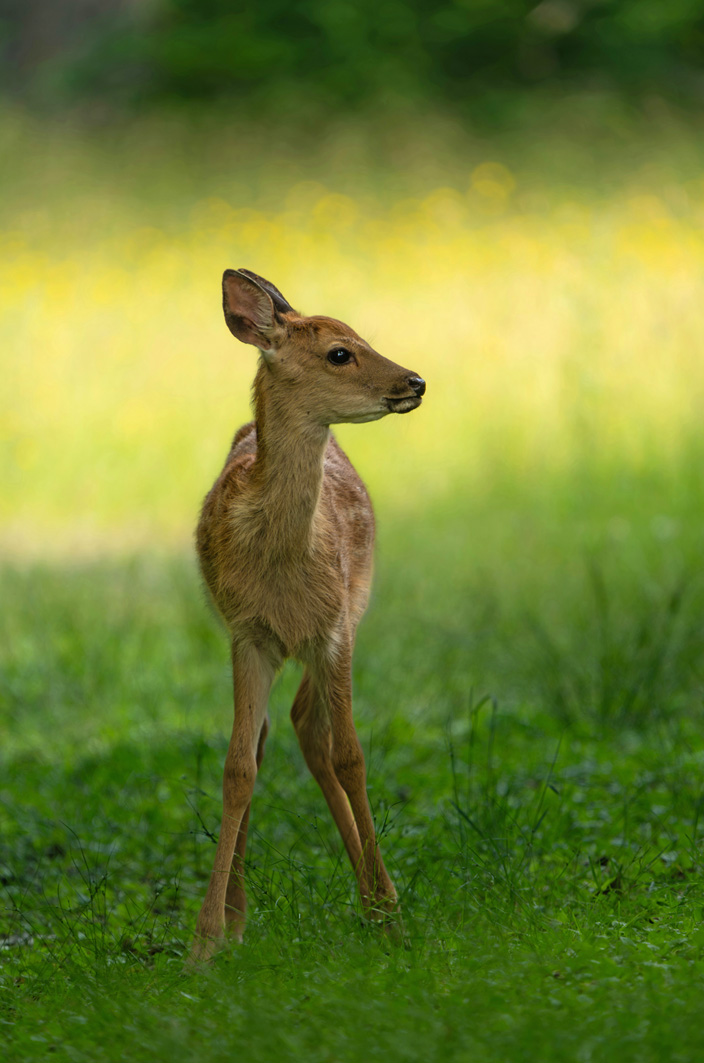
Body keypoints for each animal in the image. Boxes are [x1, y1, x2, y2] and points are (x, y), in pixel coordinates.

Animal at [190, 268, 425, 961]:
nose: (415, 381)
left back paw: (372, 898)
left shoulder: (335, 627)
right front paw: (206, 939)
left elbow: (352, 755)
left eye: (362, 336)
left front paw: (393, 912)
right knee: (275, 733)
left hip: (352, 612)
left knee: (312, 729)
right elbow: (237, 767)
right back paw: (243, 913)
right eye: (340, 353)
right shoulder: (247, 635)